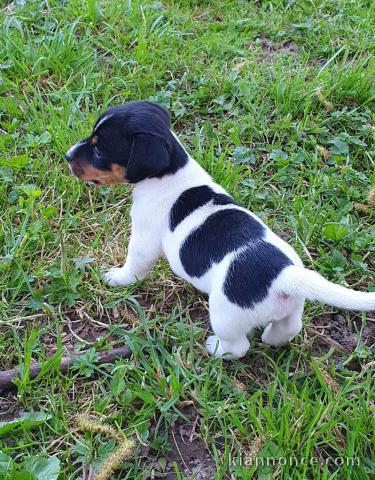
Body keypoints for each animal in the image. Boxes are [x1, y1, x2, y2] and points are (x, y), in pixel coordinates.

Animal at [66, 100, 374, 356]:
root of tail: (284, 276)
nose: (68, 155)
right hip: (292, 309)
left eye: (99, 148)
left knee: (238, 346)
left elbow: (135, 264)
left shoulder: (144, 236)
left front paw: (119, 277)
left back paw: (215, 348)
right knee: (288, 328)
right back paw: (272, 339)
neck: (171, 171)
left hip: (225, 314)